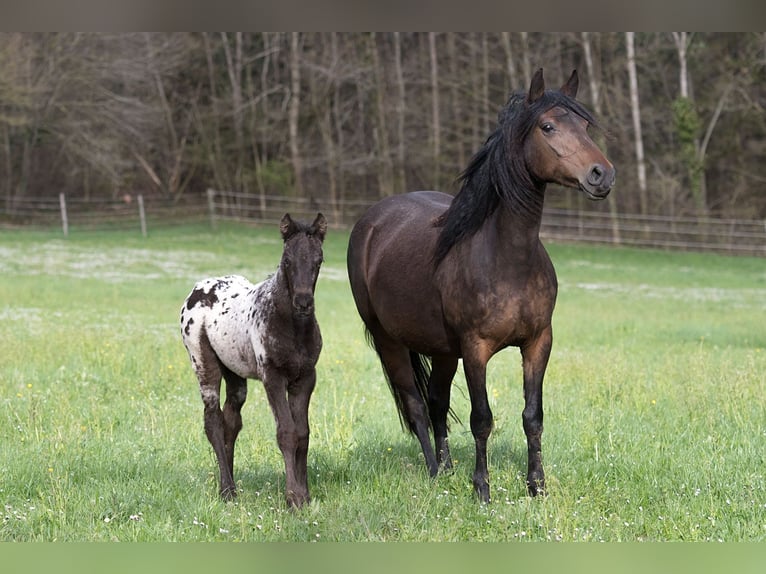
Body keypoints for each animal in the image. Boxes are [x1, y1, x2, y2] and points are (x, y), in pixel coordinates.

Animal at [182, 214, 328, 510]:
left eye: (319, 260)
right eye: (287, 260)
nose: (303, 303)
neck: (292, 326)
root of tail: (196, 290)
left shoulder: (305, 378)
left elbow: (303, 434)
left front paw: (305, 496)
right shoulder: (273, 377)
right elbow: (286, 433)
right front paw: (293, 498)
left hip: (235, 373)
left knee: (231, 421)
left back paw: (230, 483)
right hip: (204, 364)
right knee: (213, 422)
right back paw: (227, 491)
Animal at [348, 68, 616, 504]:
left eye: (586, 126)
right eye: (547, 126)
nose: (602, 174)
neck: (507, 260)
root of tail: (371, 221)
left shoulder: (539, 342)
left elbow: (532, 417)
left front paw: (536, 486)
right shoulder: (475, 350)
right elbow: (482, 418)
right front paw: (482, 489)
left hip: (443, 350)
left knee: (436, 401)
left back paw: (447, 468)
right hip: (390, 341)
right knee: (416, 405)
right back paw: (434, 471)